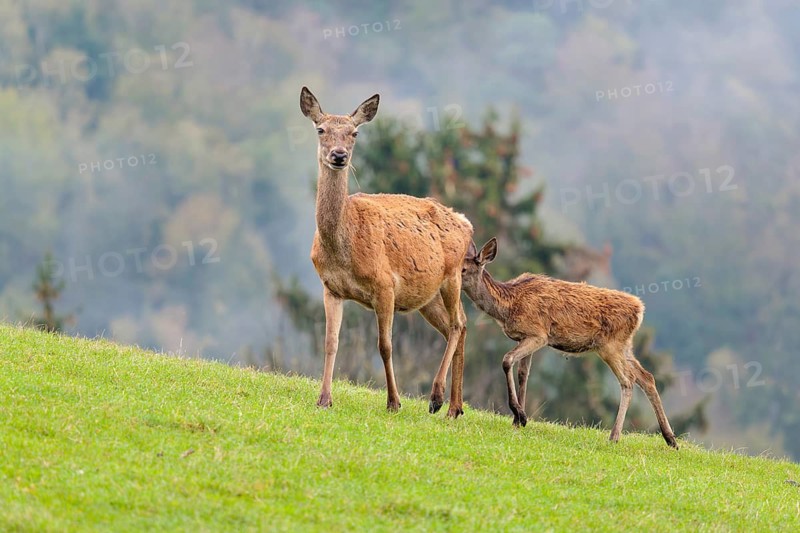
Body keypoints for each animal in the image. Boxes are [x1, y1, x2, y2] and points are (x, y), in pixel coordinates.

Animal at [299, 87, 474, 418]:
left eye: (354, 133)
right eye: (320, 129)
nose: (339, 155)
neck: (343, 250)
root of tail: (466, 223)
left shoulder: (385, 285)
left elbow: (385, 345)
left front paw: (394, 401)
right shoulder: (331, 287)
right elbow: (330, 341)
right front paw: (324, 399)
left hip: (452, 275)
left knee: (458, 324)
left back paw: (436, 397)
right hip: (427, 295)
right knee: (456, 326)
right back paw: (455, 408)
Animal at [461, 238, 678, 448]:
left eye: (464, 269)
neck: (508, 305)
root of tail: (639, 310)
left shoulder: (539, 334)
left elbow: (507, 360)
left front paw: (519, 414)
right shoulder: (526, 336)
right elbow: (523, 374)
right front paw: (518, 420)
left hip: (610, 346)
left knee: (628, 380)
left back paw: (614, 437)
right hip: (625, 346)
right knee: (646, 377)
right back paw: (671, 439)